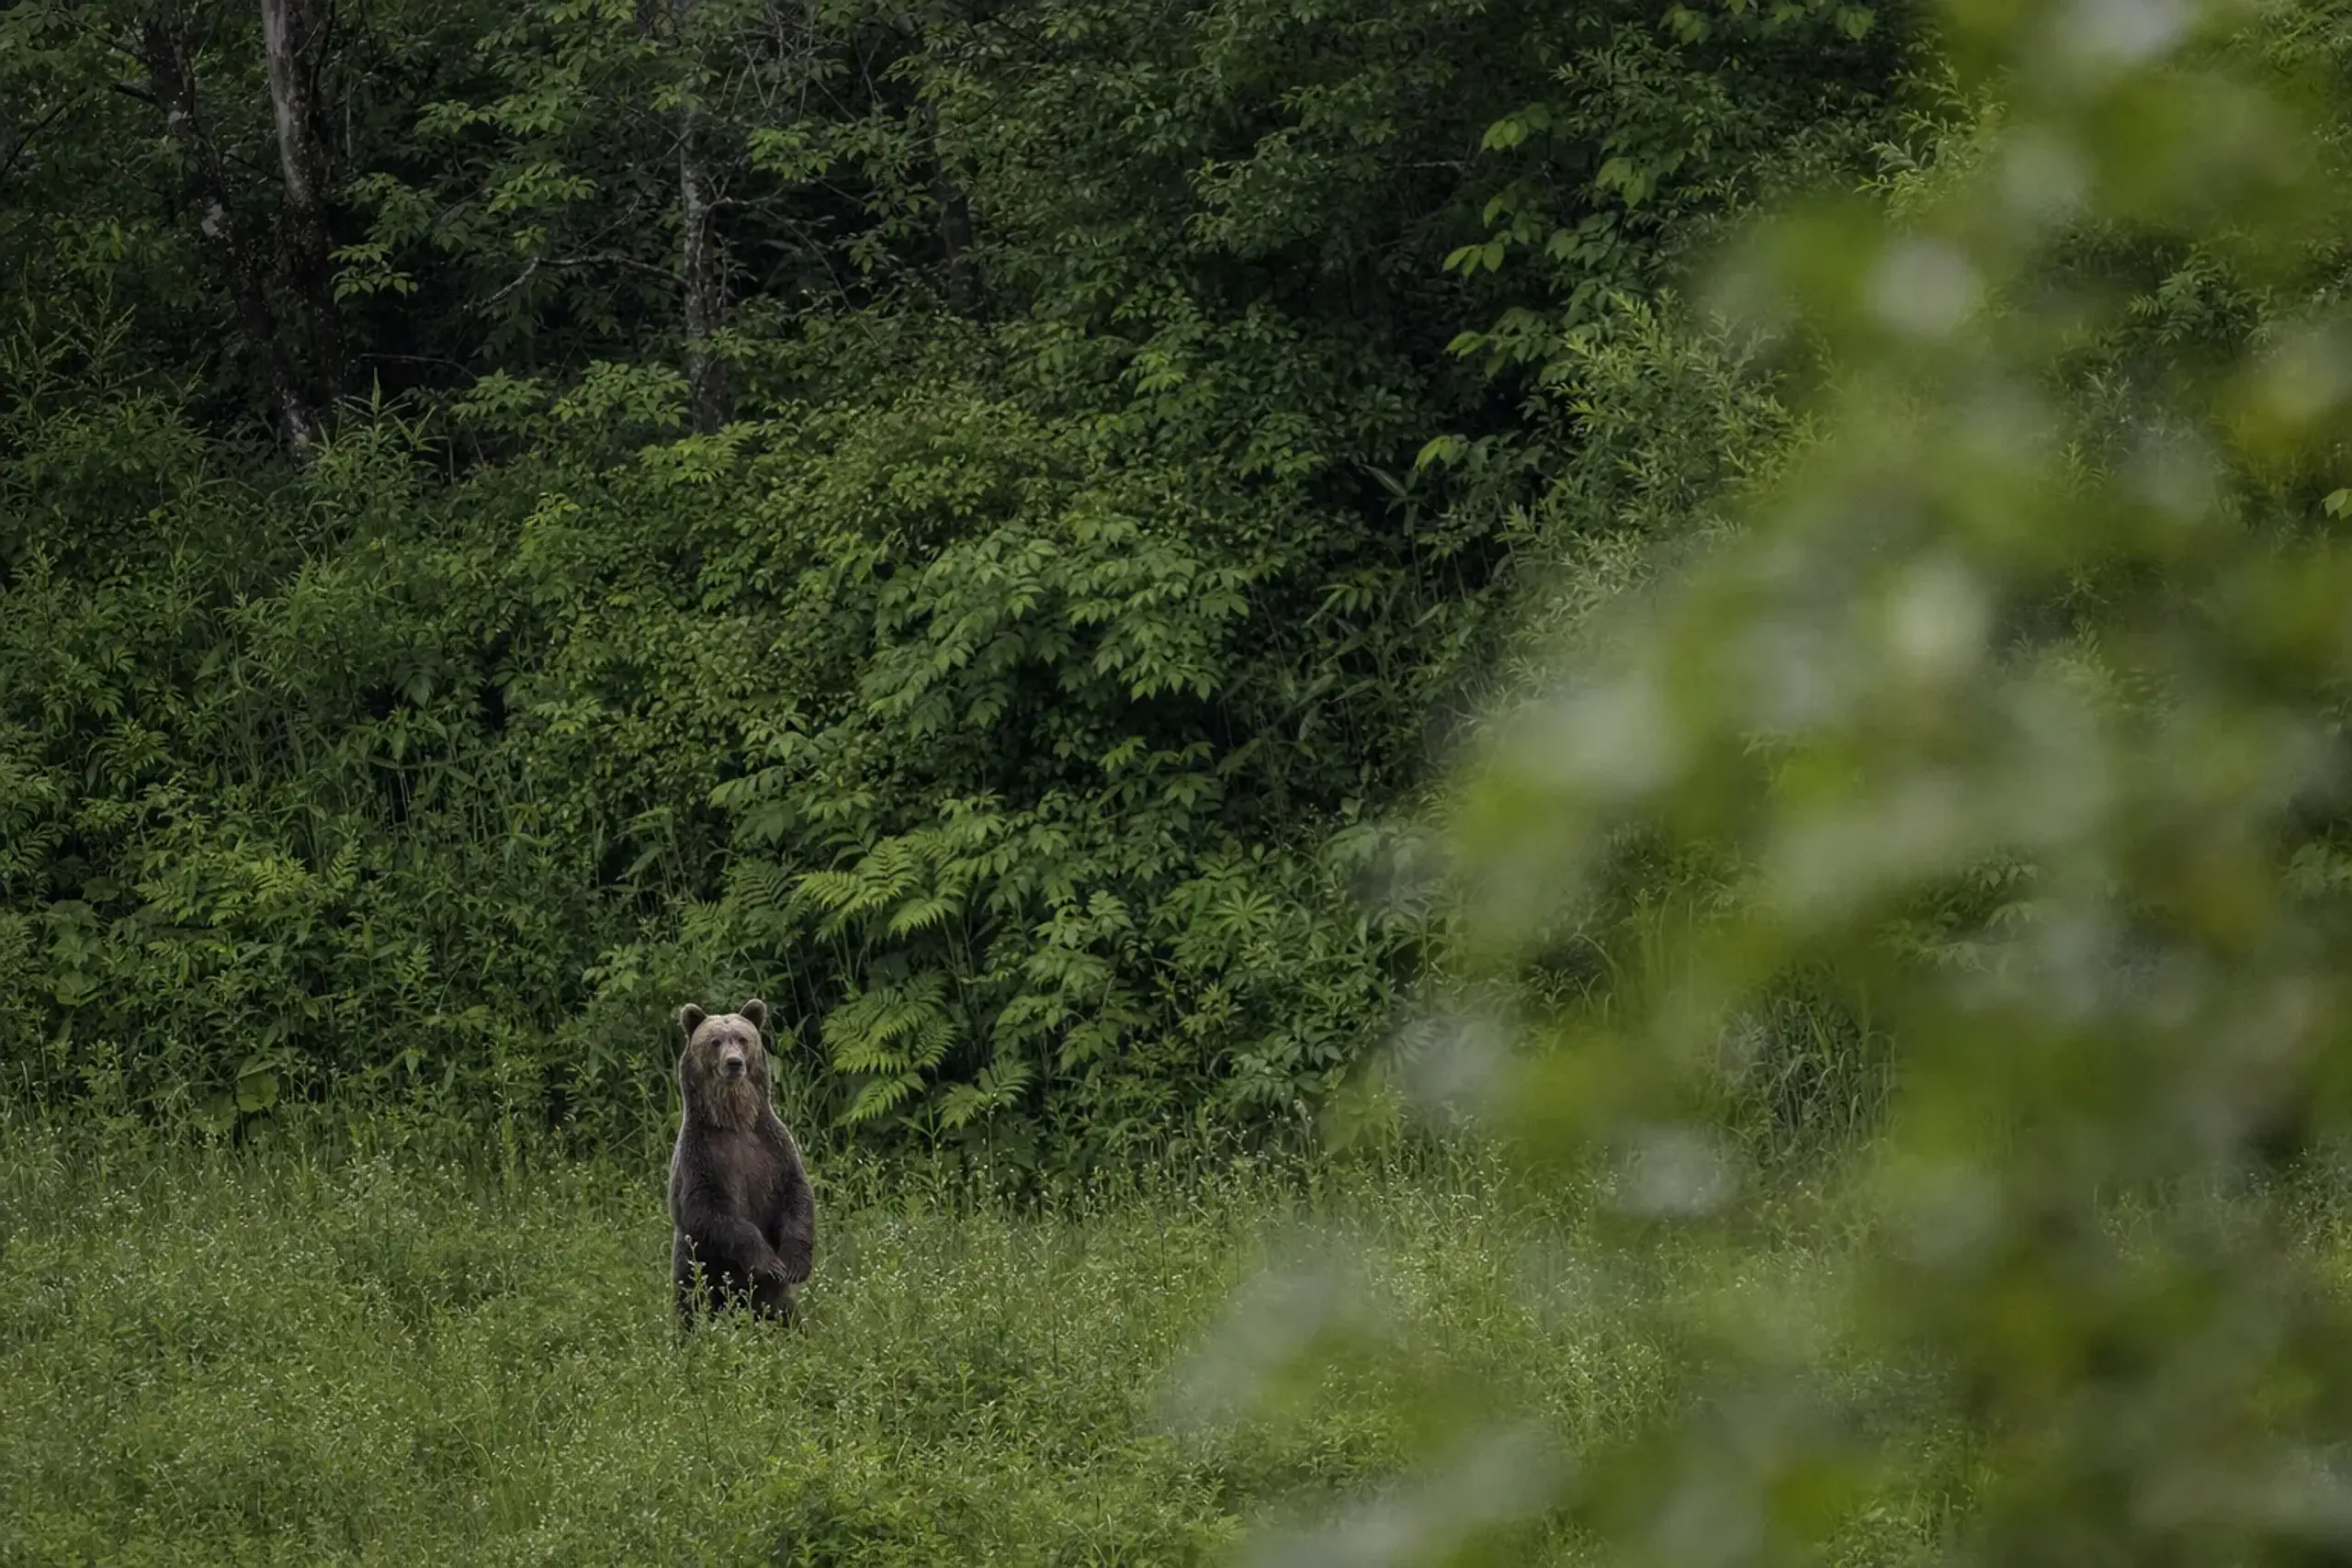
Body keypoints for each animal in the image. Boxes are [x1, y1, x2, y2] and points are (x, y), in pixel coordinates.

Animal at [668, 998, 815, 1327]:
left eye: (743, 1039)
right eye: (715, 1042)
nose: (734, 1062)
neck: (734, 1120)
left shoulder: (773, 1148)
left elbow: (797, 1195)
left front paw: (794, 1264)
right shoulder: (701, 1157)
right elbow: (707, 1211)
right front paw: (770, 1263)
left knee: (785, 1313)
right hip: (695, 1267)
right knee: (692, 1306)